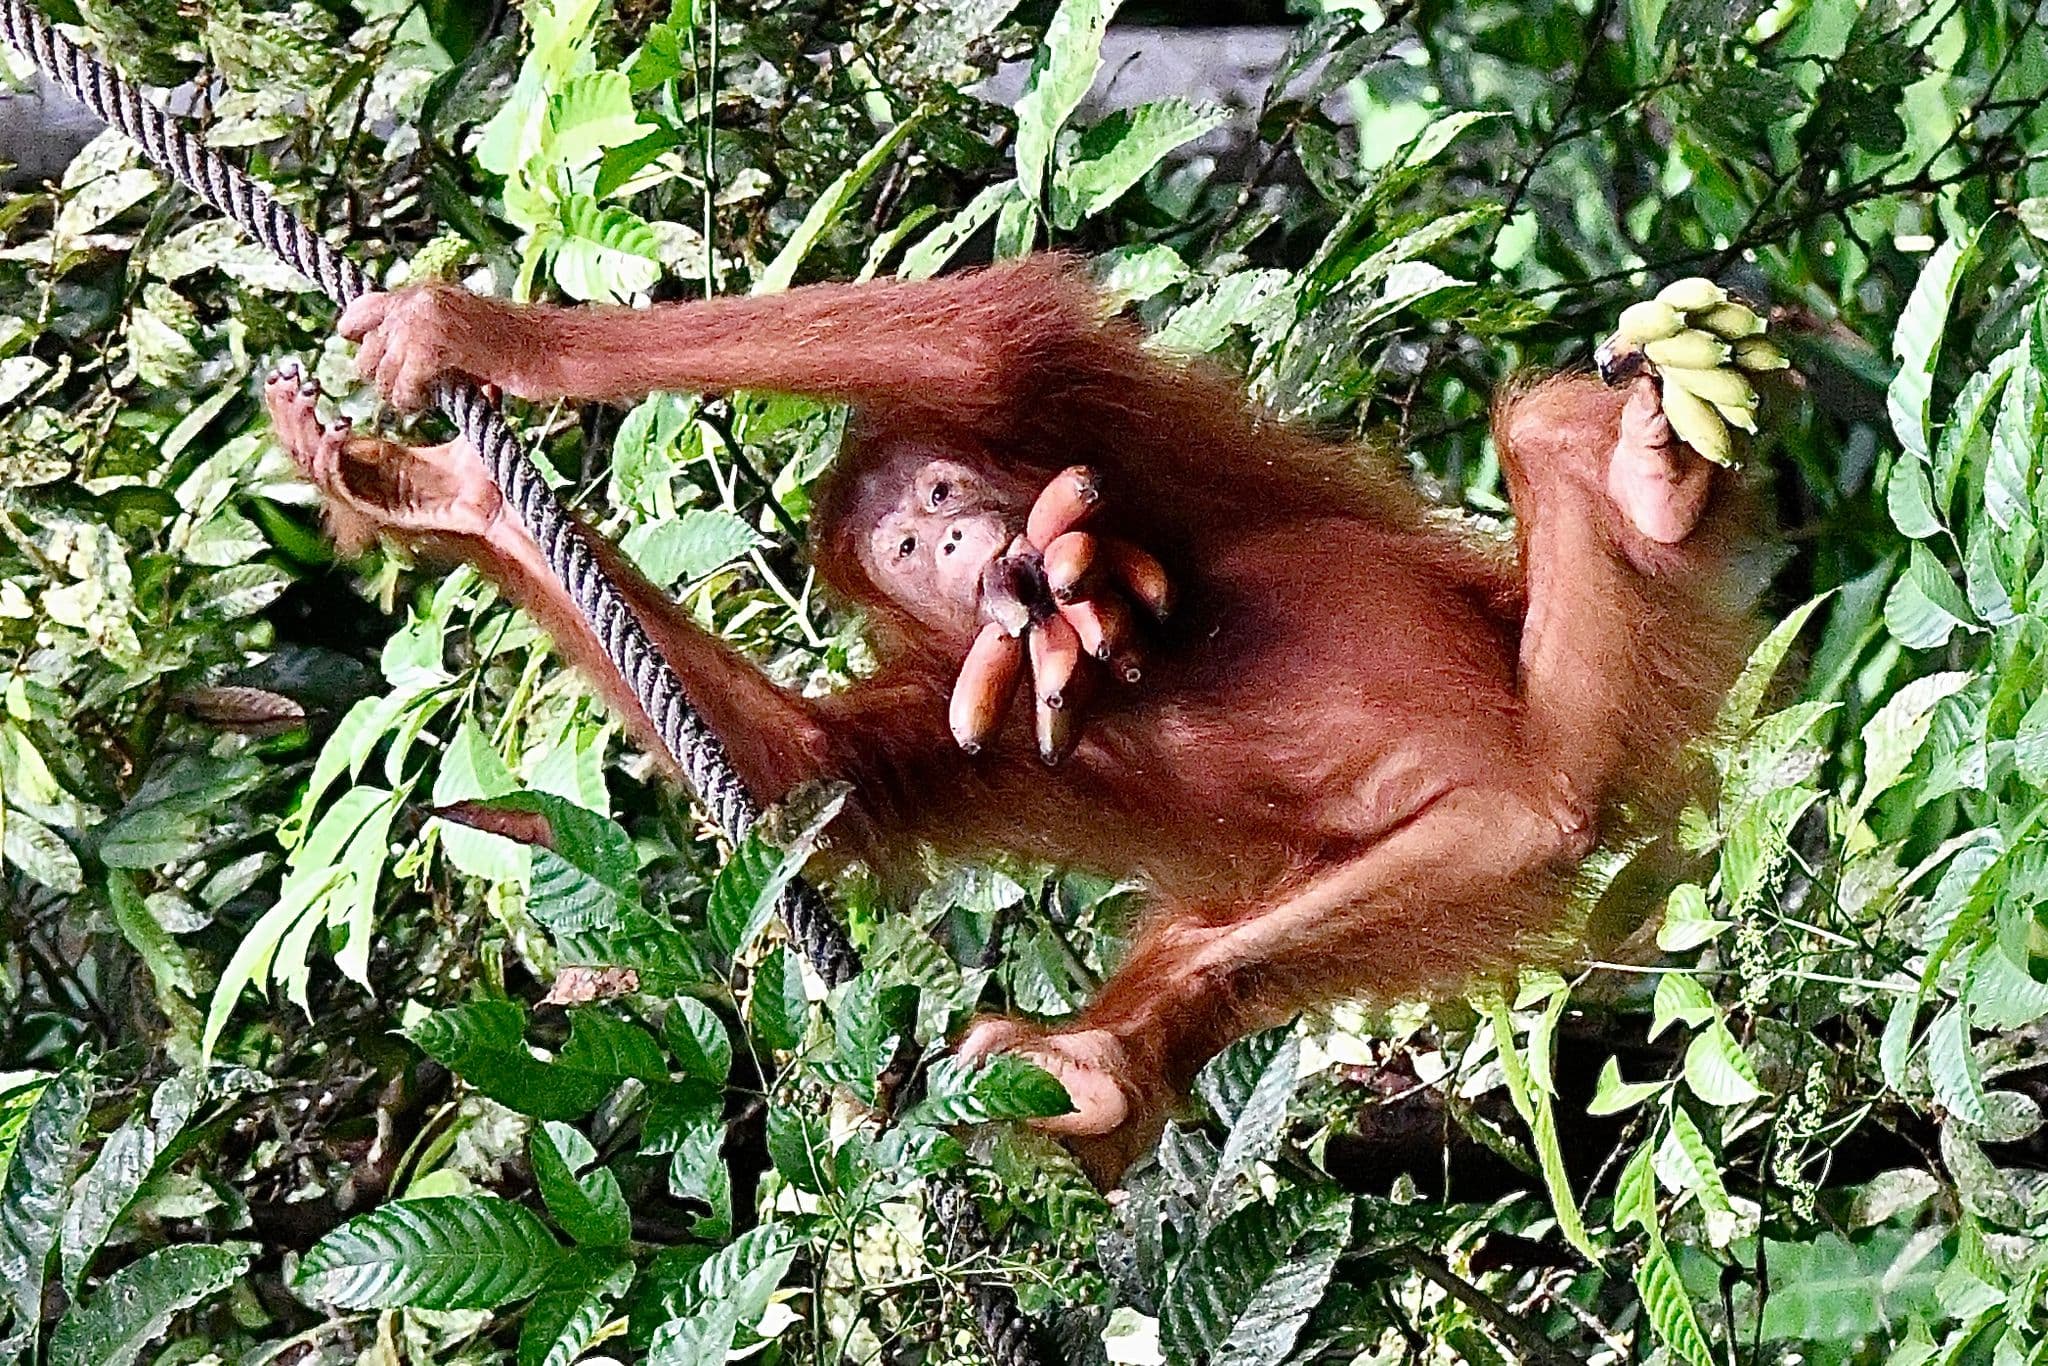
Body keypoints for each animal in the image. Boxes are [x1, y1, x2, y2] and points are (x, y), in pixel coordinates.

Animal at [265, 253, 1763, 1182]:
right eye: (908, 548)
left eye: (940, 494)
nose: (960, 542)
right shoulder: (948, 714)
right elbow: (813, 772)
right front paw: (446, 502)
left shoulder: (1063, 424)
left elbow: (969, 341)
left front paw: (478, 335)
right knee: (1248, 935)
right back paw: (1102, 1063)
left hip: (1595, 714)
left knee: (1523, 724)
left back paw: (1646, 476)